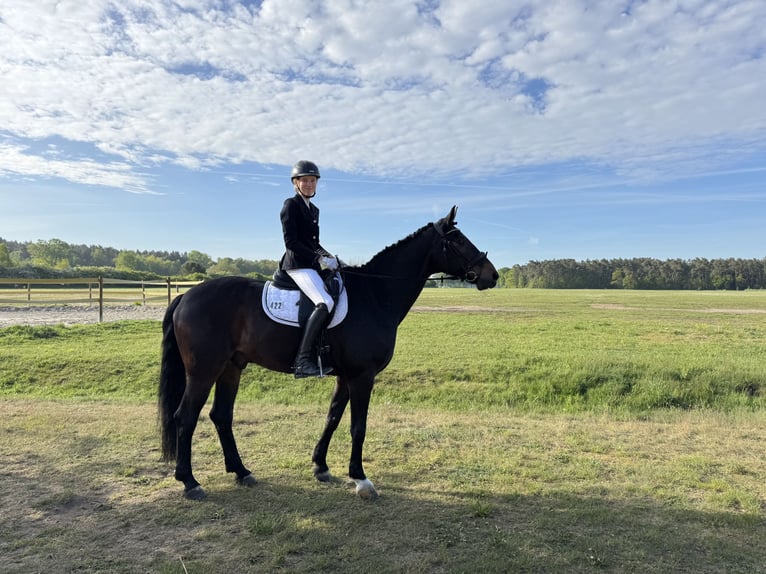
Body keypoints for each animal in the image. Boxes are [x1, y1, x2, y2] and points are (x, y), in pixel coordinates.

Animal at [158, 206, 498, 500]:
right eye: (458, 240)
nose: (491, 275)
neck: (375, 295)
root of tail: (186, 296)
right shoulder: (362, 376)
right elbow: (358, 427)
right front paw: (361, 479)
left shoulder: (346, 376)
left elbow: (332, 418)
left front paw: (320, 467)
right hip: (203, 371)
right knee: (185, 416)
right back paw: (190, 482)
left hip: (231, 367)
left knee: (221, 415)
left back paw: (242, 472)